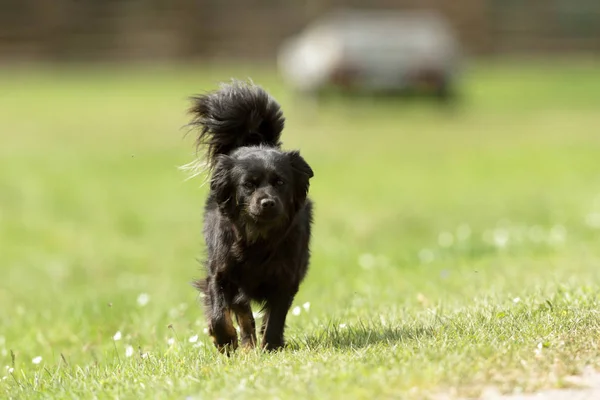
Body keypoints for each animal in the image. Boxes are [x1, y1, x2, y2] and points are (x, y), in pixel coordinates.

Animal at [188, 81, 314, 354]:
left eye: (280, 182)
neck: (258, 237)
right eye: (248, 185)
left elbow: (275, 317)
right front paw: (225, 341)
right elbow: (219, 312)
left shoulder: (286, 278)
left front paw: (271, 347)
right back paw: (245, 345)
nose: (267, 202)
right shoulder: (221, 273)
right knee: (243, 312)